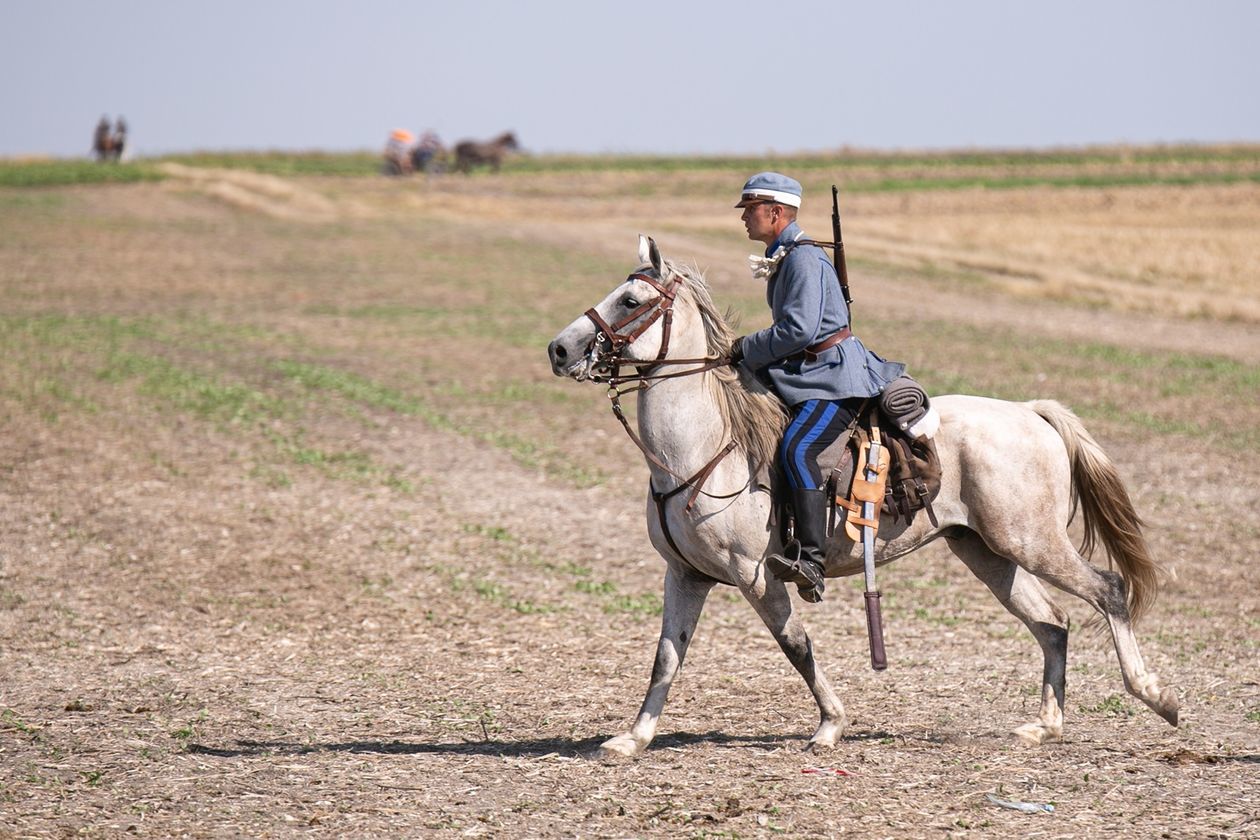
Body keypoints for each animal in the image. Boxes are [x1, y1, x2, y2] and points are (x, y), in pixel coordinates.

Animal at [544, 238, 1179, 760]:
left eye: (629, 299)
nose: (559, 349)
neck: (704, 447)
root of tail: (1029, 411)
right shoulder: (685, 575)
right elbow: (666, 656)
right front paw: (633, 738)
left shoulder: (756, 575)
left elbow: (795, 645)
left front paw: (830, 725)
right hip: (988, 552)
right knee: (1052, 623)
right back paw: (1044, 726)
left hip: (1033, 541)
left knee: (1108, 590)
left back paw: (1155, 695)